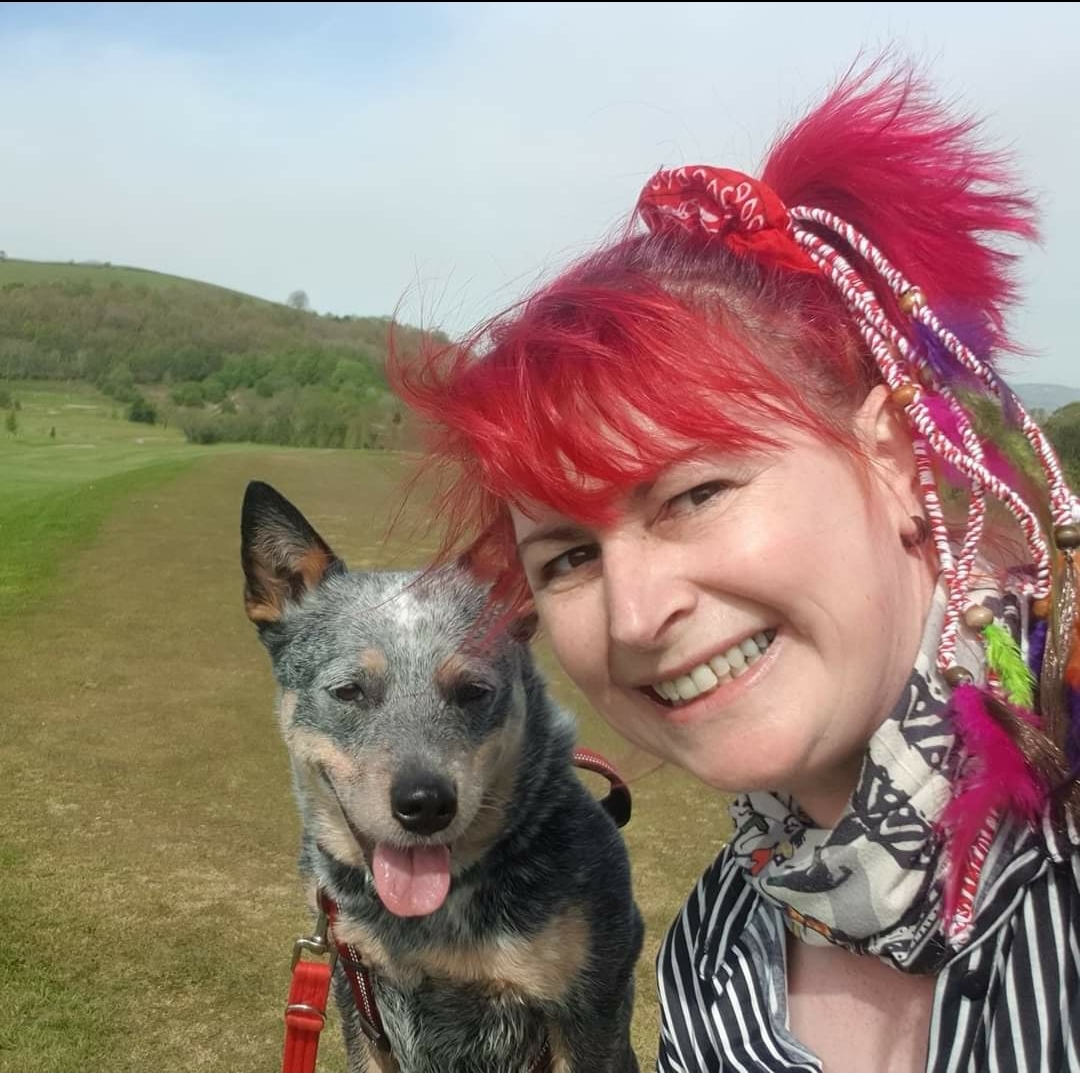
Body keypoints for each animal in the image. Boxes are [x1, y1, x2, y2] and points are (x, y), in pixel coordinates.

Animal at [238, 481, 639, 1066]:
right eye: (349, 690)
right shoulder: (357, 994)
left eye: (473, 690)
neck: (424, 928)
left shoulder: (589, 1011)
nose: (425, 803)